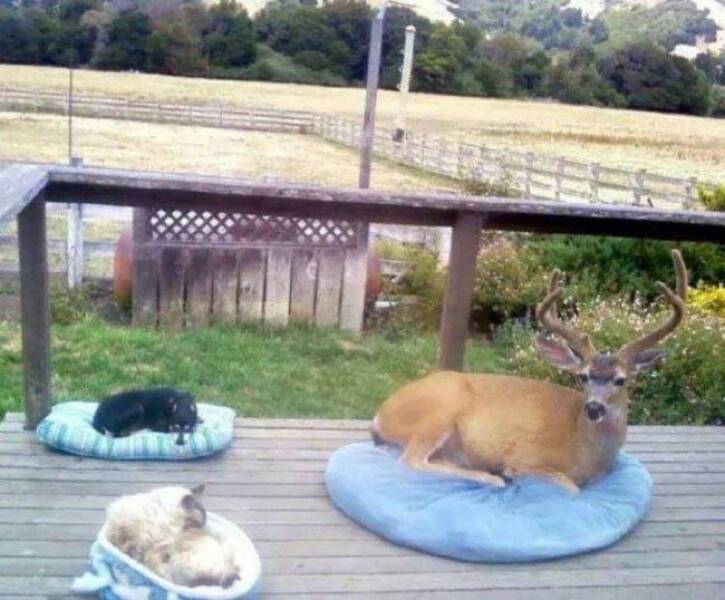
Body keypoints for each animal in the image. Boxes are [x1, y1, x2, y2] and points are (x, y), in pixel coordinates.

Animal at [371, 250, 687, 492]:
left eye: (621, 380)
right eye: (583, 376)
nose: (594, 407)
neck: (585, 451)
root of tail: (380, 415)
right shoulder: (527, 456)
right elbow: (570, 488)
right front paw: (509, 474)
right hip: (440, 410)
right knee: (411, 459)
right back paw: (491, 477)